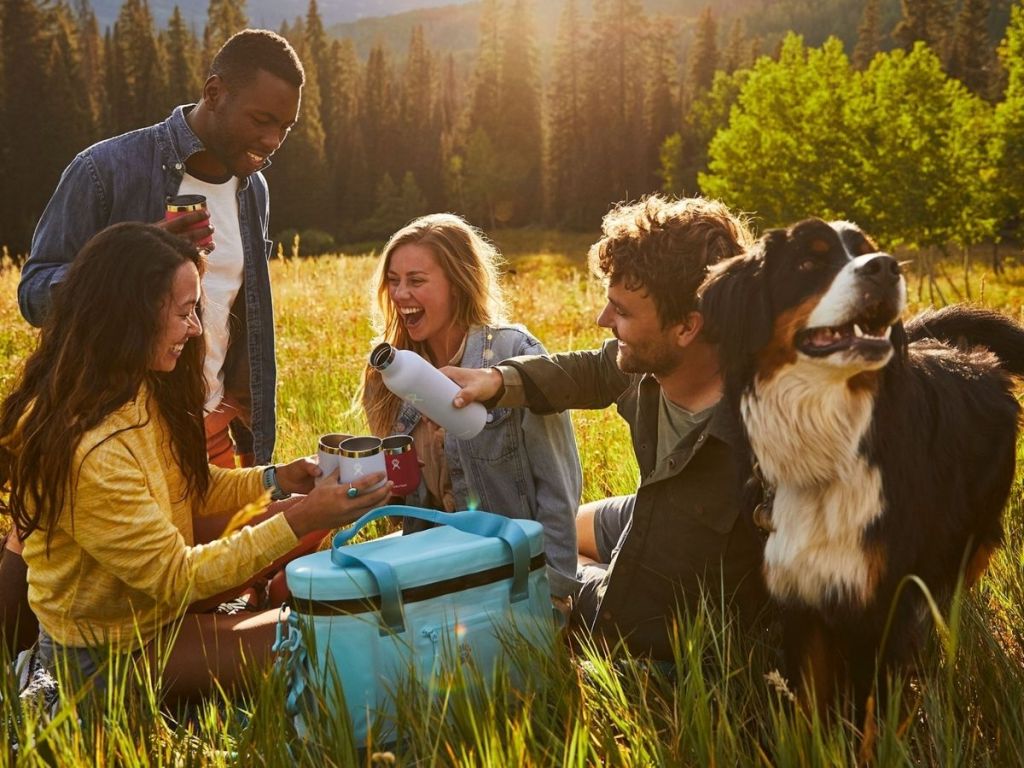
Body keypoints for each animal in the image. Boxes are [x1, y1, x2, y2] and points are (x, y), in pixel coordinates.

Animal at [700, 217, 1019, 716]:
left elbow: (872, 715)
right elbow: (808, 709)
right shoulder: (801, 595)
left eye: (868, 250)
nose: (885, 267)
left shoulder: (882, 604)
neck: (831, 440)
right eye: (808, 262)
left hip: (974, 534)